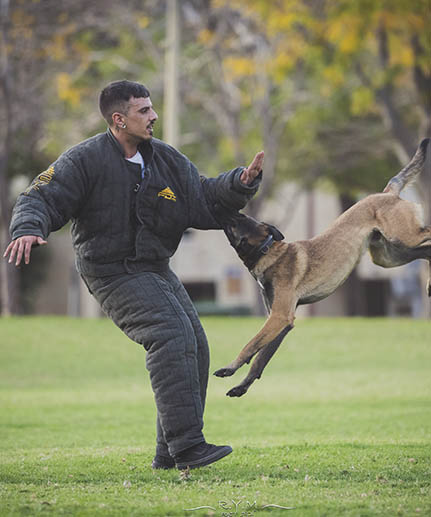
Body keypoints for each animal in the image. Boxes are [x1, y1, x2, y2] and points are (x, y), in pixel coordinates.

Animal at [216, 137, 431, 396]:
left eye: (237, 220)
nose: (220, 206)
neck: (267, 252)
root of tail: (387, 193)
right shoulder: (283, 322)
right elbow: (261, 358)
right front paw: (242, 386)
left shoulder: (278, 317)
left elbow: (251, 345)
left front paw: (229, 368)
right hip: (389, 255)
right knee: (427, 251)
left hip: (404, 237)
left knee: (429, 236)